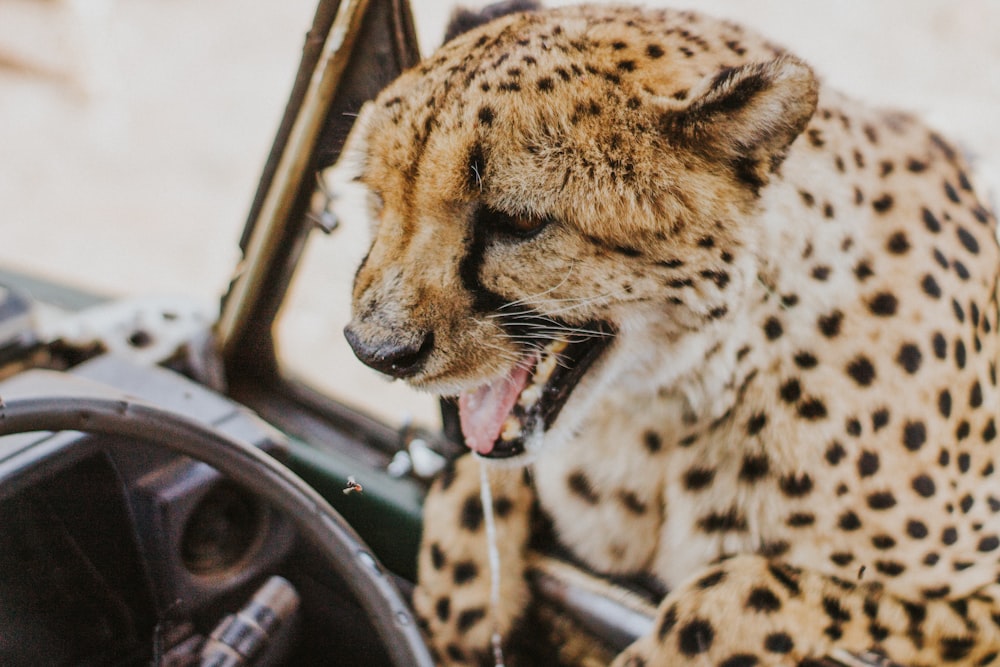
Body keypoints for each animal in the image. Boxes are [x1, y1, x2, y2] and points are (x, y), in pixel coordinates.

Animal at [342, 2, 1000, 664]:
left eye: (518, 223)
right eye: (381, 197)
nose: (375, 350)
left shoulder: (978, 604)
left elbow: (740, 587)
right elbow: (469, 476)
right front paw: (459, 601)